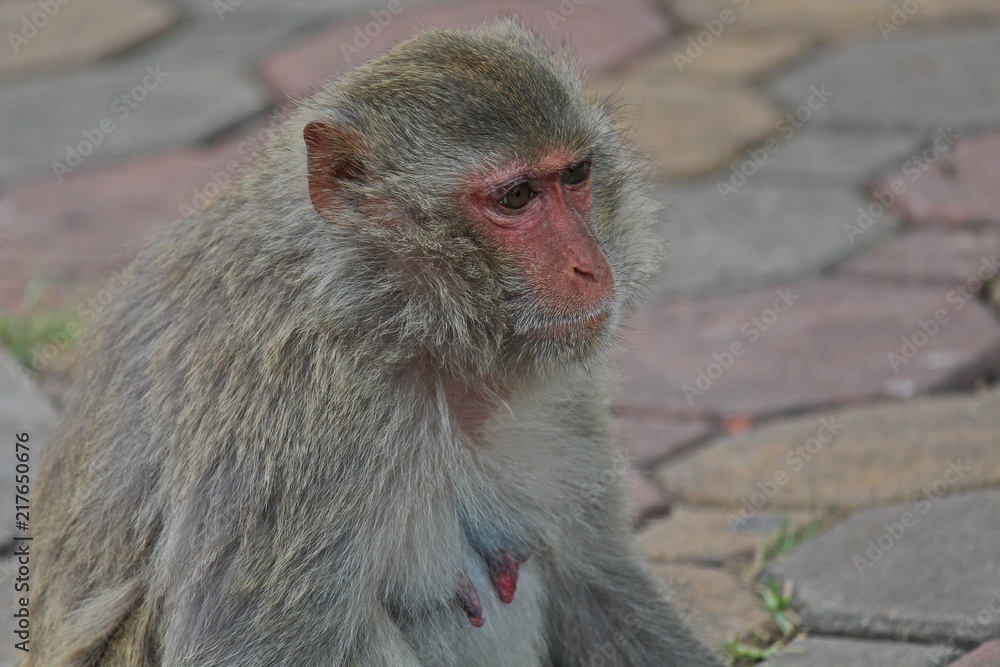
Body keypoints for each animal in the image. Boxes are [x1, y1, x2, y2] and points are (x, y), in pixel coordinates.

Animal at [27, 20, 723, 667]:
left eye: (575, 175)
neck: (392, 314)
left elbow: (596, 580)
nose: (590, 267)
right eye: (517, 196)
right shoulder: (302, 416)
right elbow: (254, 646)